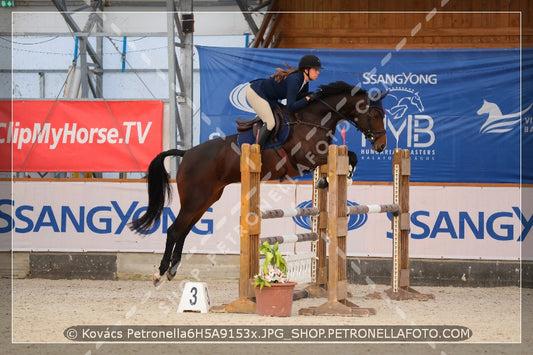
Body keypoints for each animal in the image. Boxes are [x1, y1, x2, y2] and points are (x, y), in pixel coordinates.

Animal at [129, 80, 386, 286]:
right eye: (375, 115)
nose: (381, 145)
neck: (313, 120)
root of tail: (187, 153)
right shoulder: (306, 157)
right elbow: (348, 156)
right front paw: (338, 178)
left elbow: (350, 156)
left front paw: (330, 180)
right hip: (195, 199)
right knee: (174, 230)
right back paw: (160, 272)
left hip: (206, 199)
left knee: (183, 230)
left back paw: (172, 269)